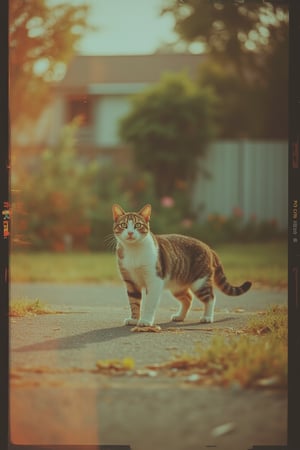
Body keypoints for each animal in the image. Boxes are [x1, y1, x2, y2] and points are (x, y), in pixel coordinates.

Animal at [112, 204, 251, 326]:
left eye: (138, 225)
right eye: (124, 225)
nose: (130, 233)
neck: (133, 251)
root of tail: (208, 247)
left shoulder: (154, 280)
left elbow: (150, 303)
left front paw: (145, 321)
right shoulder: (130, 282)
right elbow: (134, 303)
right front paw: (134, 319)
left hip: (200, 282)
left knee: (210, 297)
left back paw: (207, 317)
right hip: (177, 285)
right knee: (188, 298)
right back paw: (180, 316)